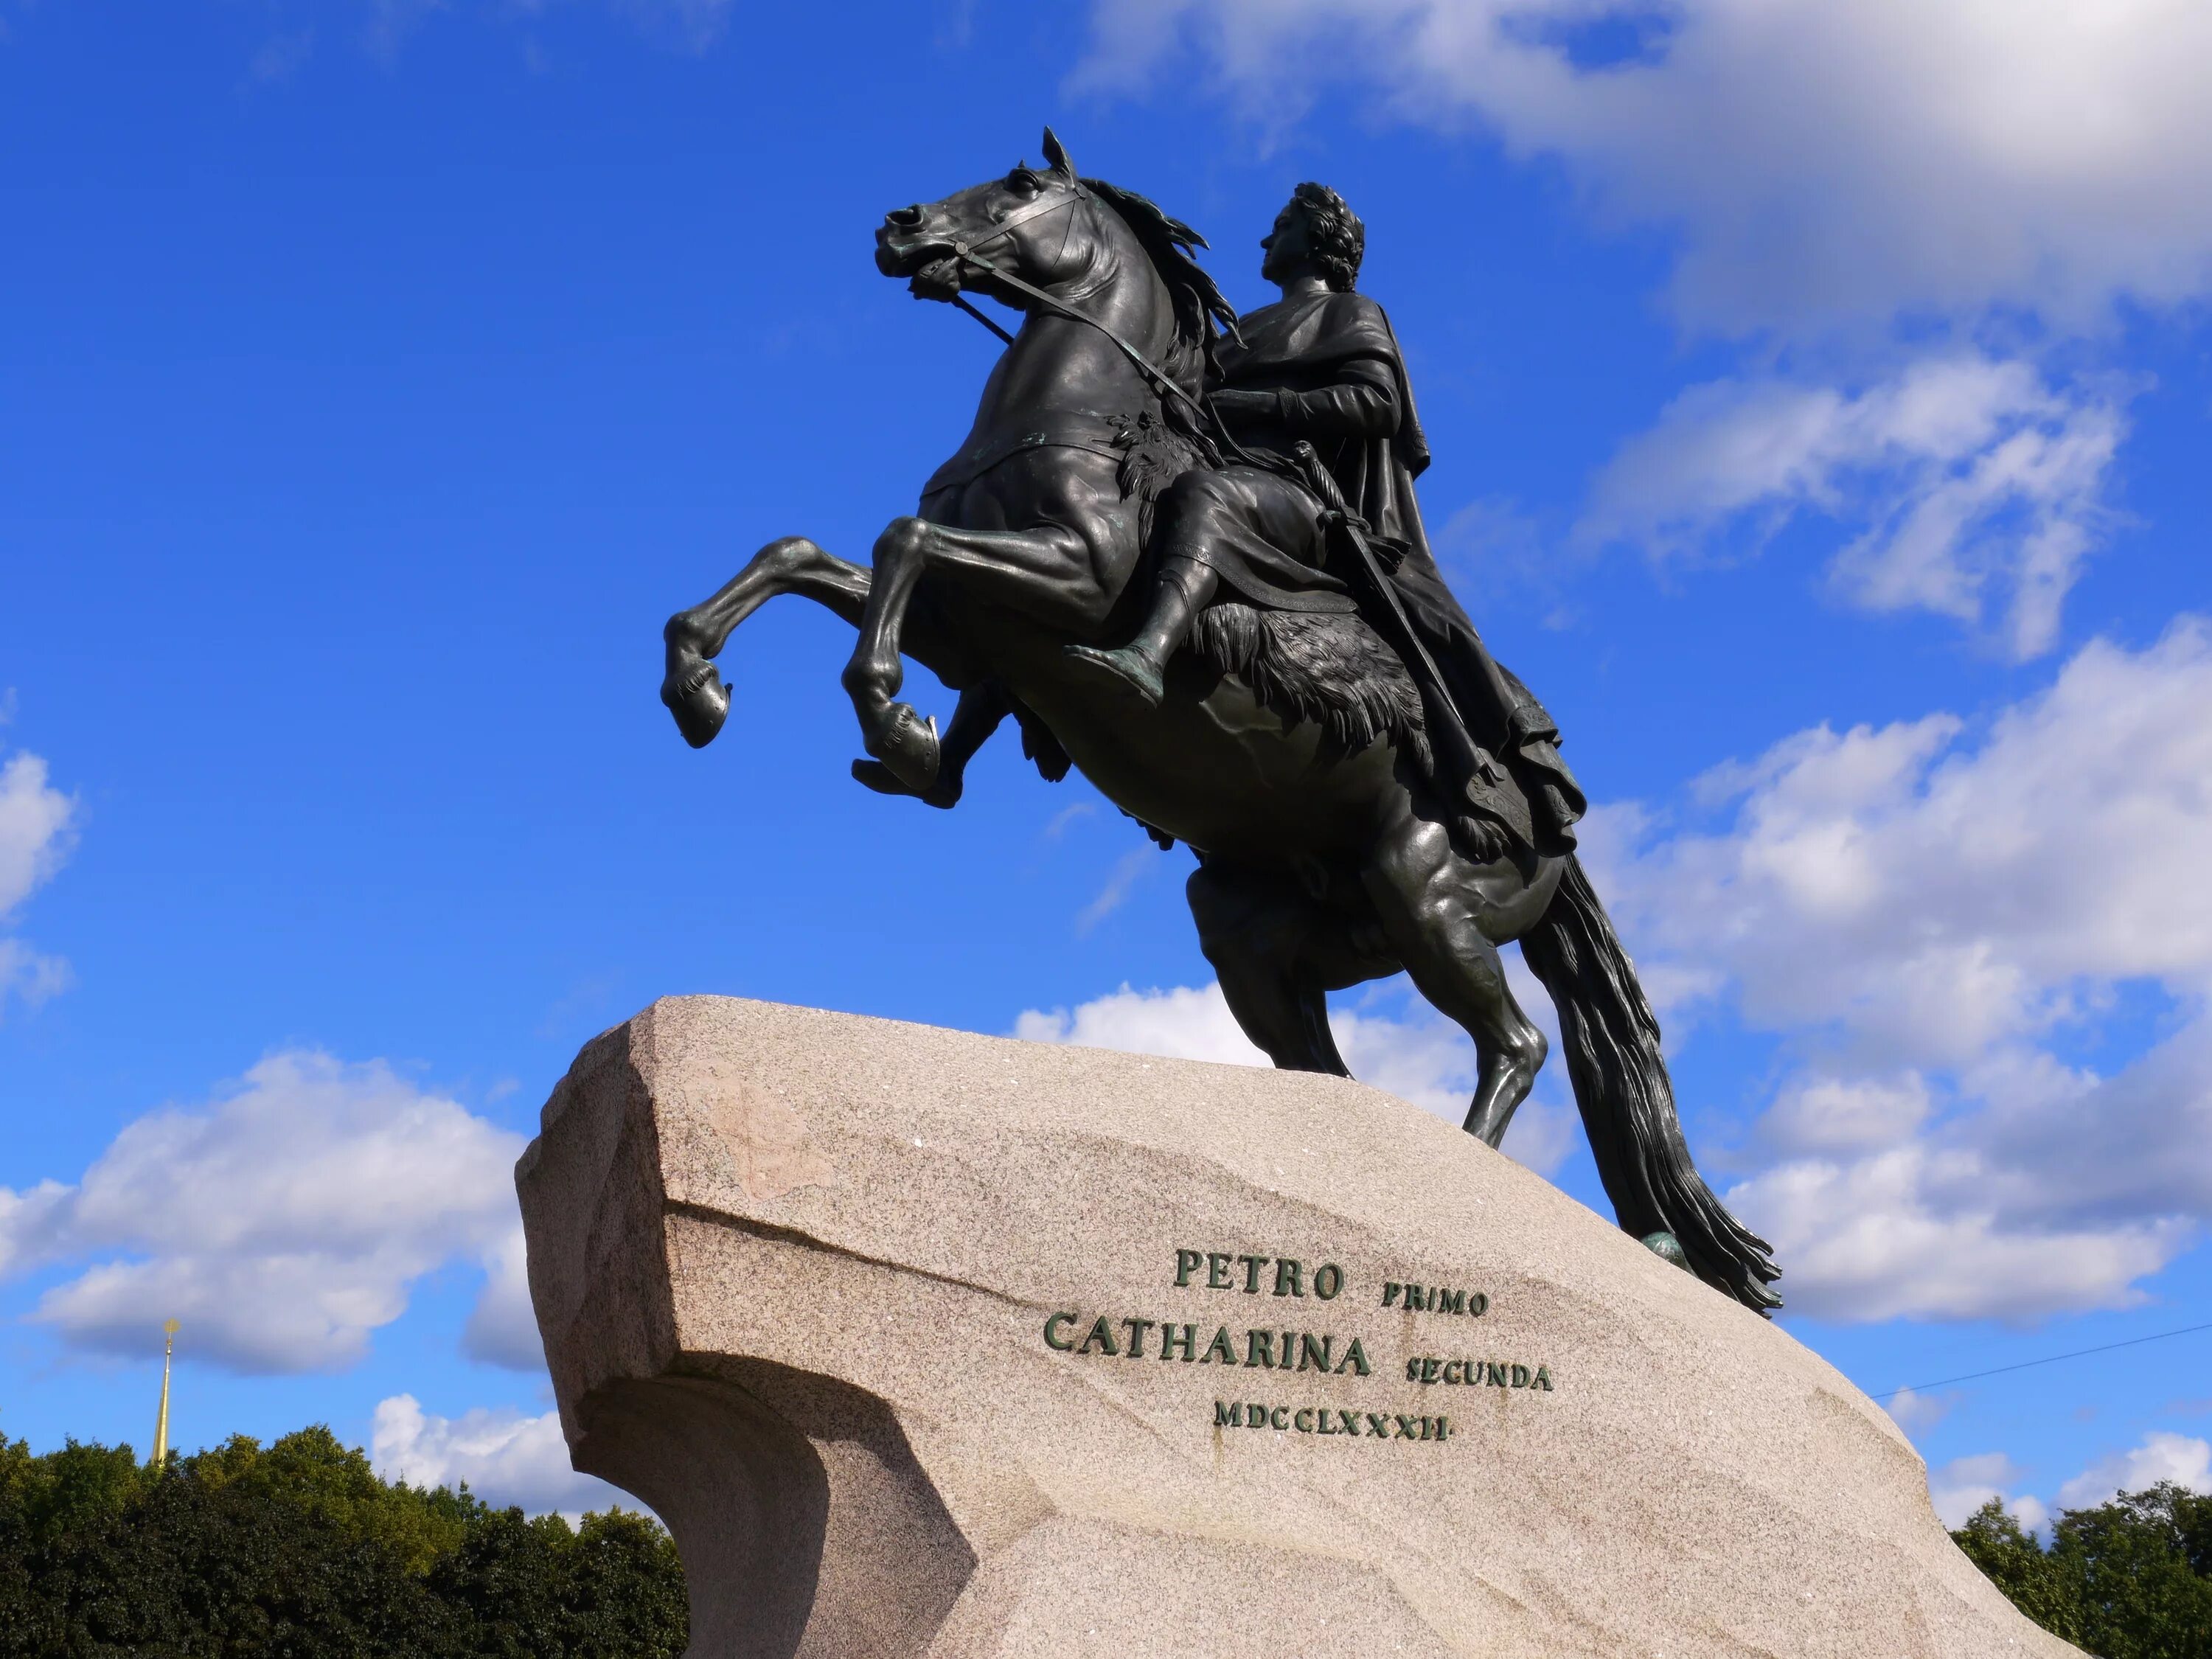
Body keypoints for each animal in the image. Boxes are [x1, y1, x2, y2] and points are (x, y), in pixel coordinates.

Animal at [655, 133, 1778, 1310]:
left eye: (1022, 185)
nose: (900, 226)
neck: (1079, 420)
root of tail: (1555, 829)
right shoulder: (971, 630)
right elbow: (807, 554)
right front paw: (708, 689)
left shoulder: (1066, 583)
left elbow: (899, 541)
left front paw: (884, 708)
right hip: (1258, 930)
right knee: (1328, 1066)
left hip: (1425, 889)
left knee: (1513, 1043)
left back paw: (1473, 1191)